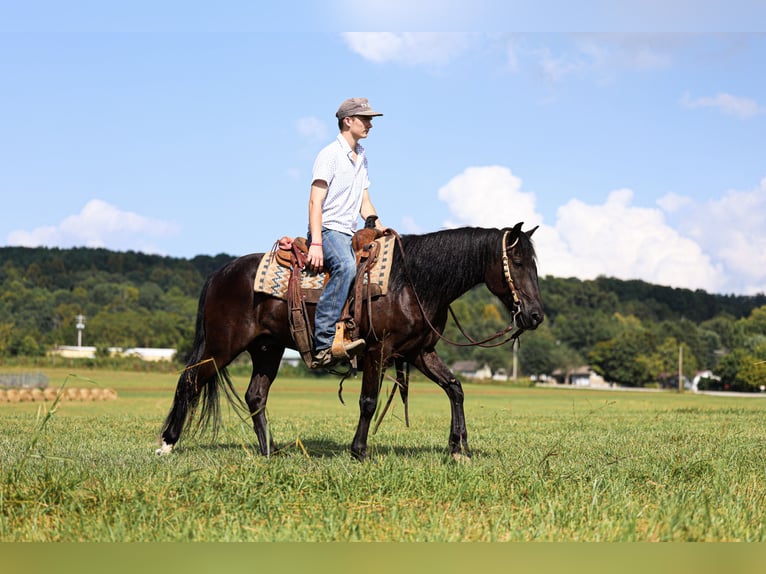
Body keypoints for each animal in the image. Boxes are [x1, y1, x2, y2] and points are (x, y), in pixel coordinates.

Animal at [156, 222, 544, 461]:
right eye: (517, 261)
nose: (535, 315)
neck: (412, 283)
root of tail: (220, 273)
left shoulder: (420, 351)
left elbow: (455, 387)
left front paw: (459, 448)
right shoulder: (377, 350)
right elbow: (368, 401)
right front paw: (359, 451)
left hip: (267, 348)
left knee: (255, 395)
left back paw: (270, 451)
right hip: (222, 347)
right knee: (189, 380)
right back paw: (166, 444)